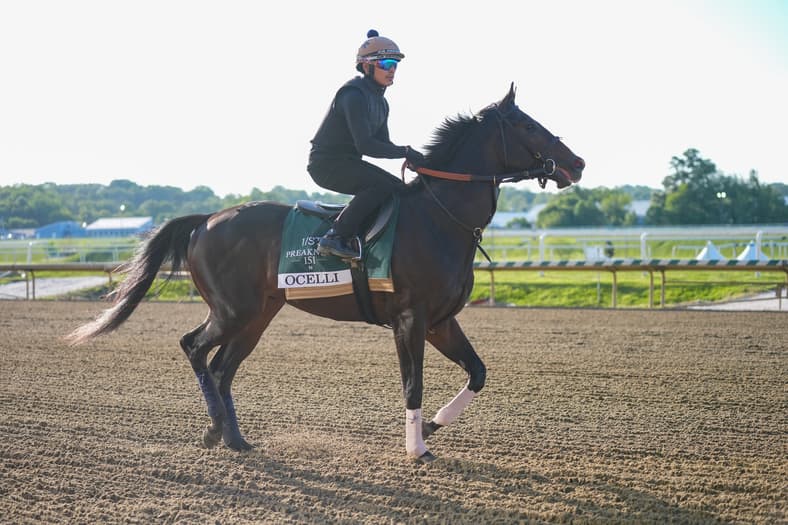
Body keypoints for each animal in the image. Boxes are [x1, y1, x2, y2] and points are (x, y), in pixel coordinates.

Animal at [68, 84, 584, 463]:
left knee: (221, 367)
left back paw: (233, 438)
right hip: (234, 310)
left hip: (257, 315)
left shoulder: (441, 320)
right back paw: (215, 430)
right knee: (195, 348)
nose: (577, 163)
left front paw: (435, 423)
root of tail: (206, 220)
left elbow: (477, 372)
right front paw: (417, 447)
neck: (442, 217)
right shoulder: (410, 319)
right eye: (528, 124)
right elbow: (412, 383)